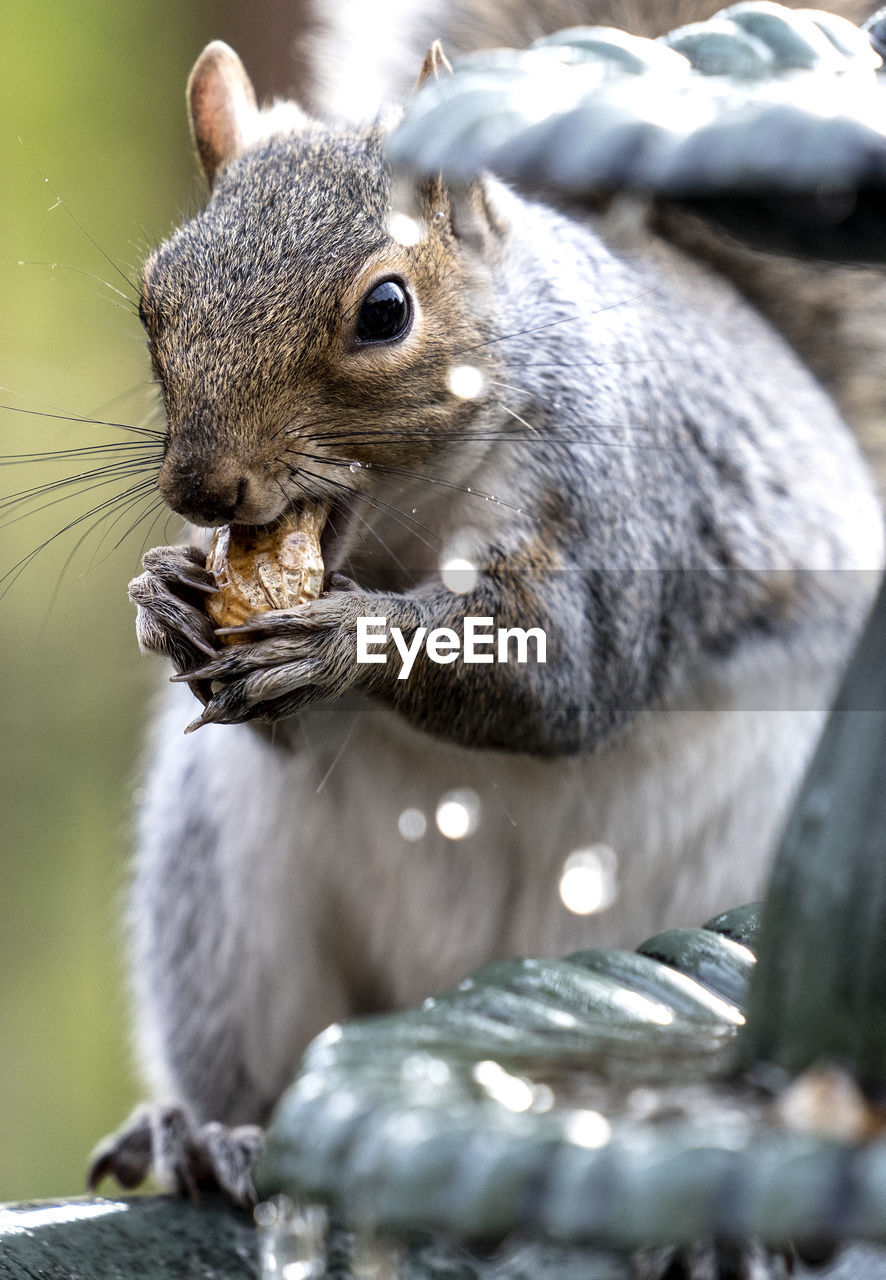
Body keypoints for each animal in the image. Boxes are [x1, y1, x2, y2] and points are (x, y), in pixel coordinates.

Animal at [88, 0, 886, 1213]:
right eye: (154, 302)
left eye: (385, 310)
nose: (204, 490)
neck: (407, 529)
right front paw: (166, 594)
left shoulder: (622, 501)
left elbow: (561, 673)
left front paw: (343, 638)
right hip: (224, 912)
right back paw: (205, 1136)